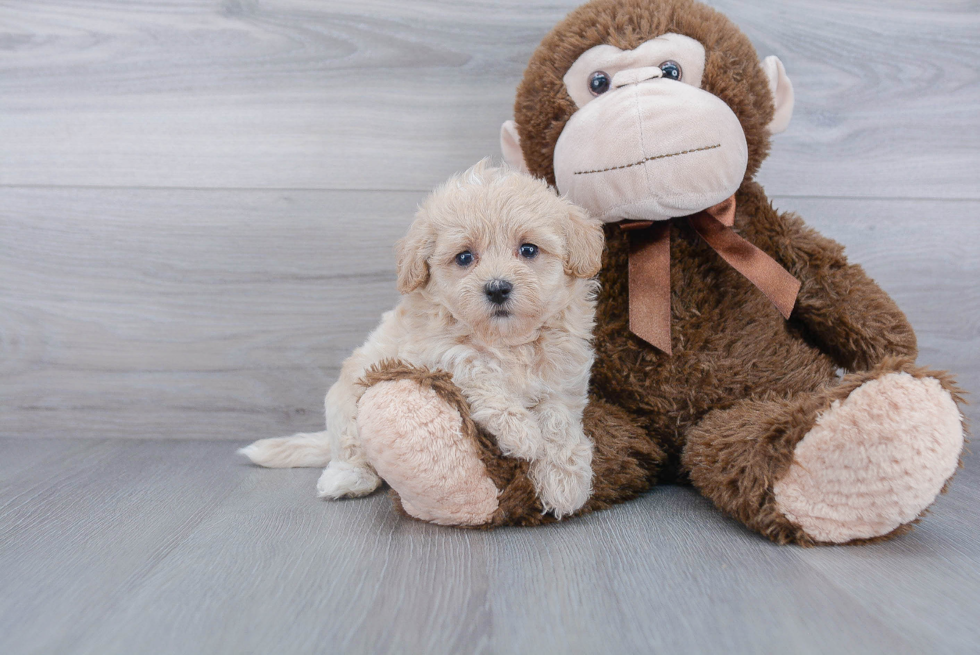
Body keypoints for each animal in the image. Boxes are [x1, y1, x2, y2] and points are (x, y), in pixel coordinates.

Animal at [239, 161, 604, 520]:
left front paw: (565, 482)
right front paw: (521, 432)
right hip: (346, 401)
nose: (498, 288)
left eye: (528, 250)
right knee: (349, 447)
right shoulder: (427, 350)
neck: (506, 340)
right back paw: (347, 478)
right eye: (464, 257)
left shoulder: (564, 379)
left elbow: (558, 419)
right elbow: (473, 364)